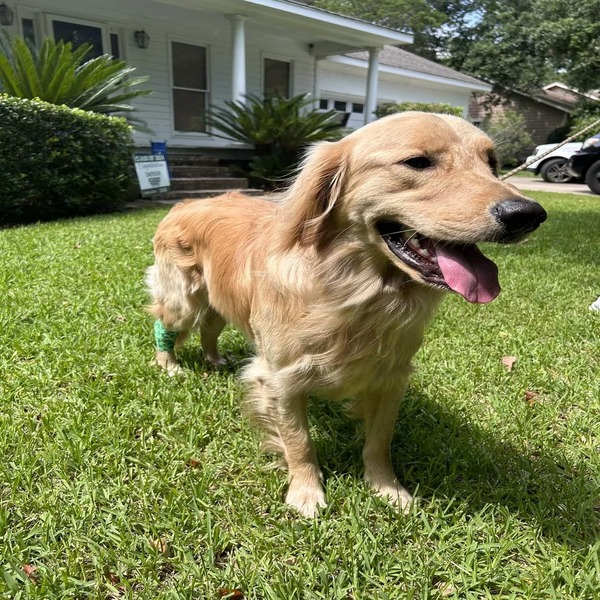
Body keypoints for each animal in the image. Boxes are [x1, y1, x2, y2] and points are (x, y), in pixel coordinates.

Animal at [148, 112, 548, 516]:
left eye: (492, 163)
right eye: (418, 162)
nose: (527, 214)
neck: (356, 291)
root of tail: (185, 203)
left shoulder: (391, 376)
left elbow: (379, 441)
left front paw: (387, 487)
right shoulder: (281, 378)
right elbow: (299, 442)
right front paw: (306, 493)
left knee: (210, 327)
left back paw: (214, 359)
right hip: (184, 299)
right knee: (165, 322)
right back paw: (169, 365)